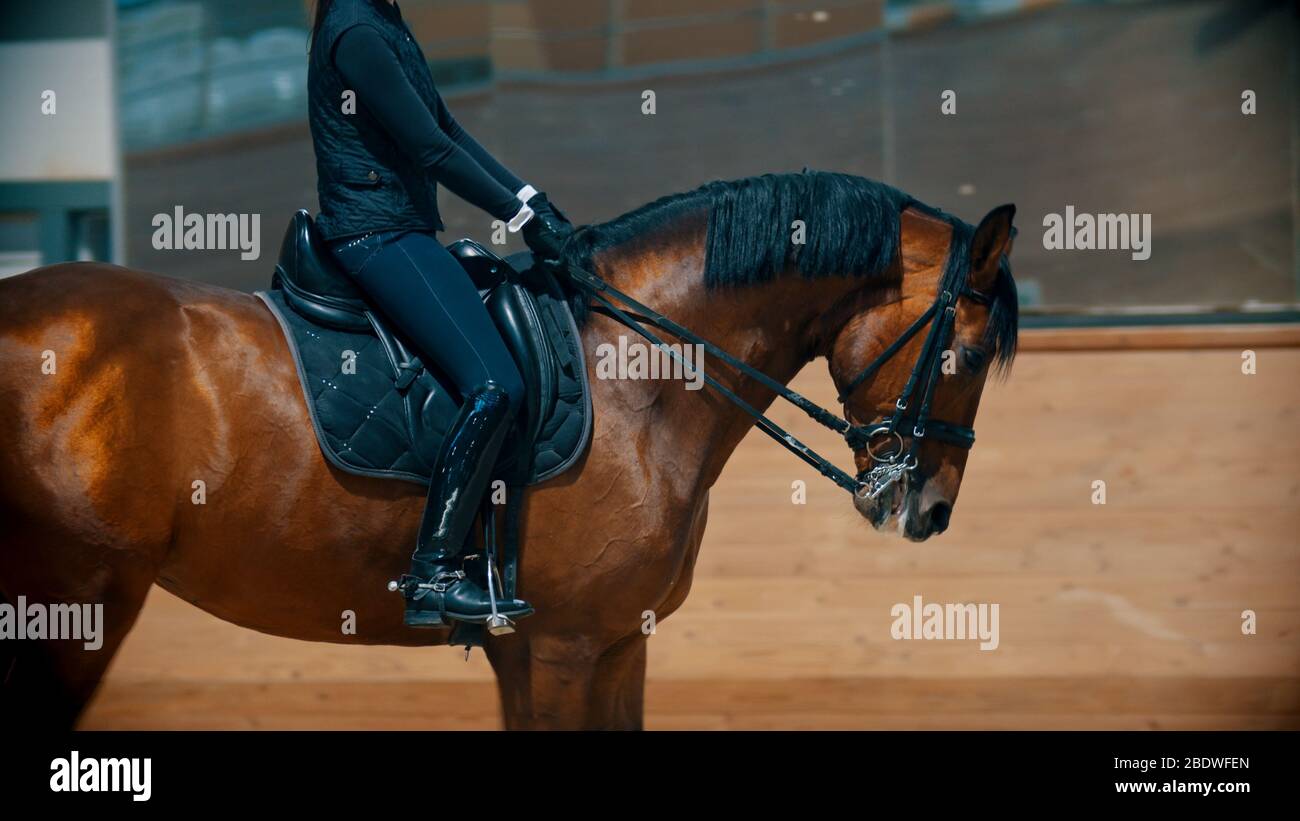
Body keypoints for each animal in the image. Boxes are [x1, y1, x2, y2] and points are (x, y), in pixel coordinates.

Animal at [0, 171, 1013, 722]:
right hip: (73, 608)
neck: (638, 376)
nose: (931, 508)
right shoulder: (562, 645)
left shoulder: (608, 645)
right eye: (964, 354)